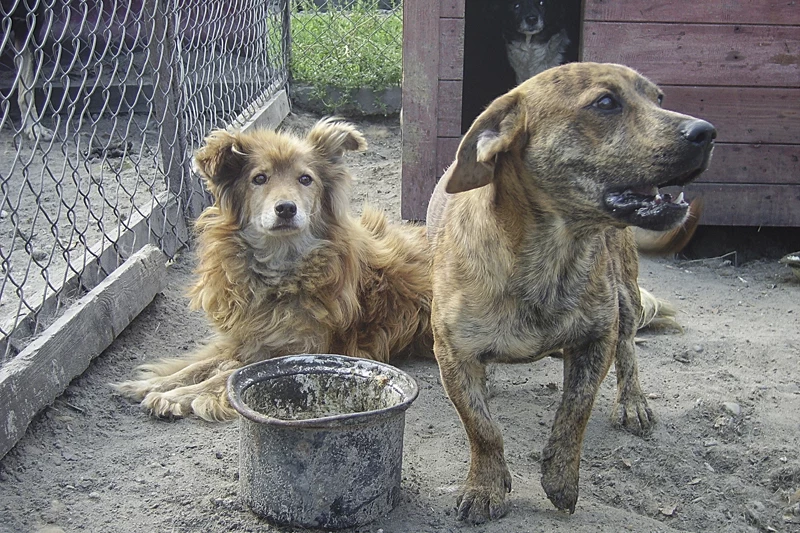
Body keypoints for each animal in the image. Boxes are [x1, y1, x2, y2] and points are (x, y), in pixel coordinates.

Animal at [114, 117, 432, 420]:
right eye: (259, 178)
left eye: (305, 179)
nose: (286, 208)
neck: (281, 268)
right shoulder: (249, 338)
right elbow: (200, 365)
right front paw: (152, 384)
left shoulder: (306, 350)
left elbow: (224, 375)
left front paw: (173, 396)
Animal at [428, 61, 716, 520]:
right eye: (606, 102)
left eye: (659, 99)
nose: (707, 132)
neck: (549, 255)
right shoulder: (453, 354)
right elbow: (482, 426)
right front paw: (485, 486)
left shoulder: (597, 339)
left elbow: (574, 411)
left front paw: (560, 479)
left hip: (626, 296)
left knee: (629, 348)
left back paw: (632, 402)